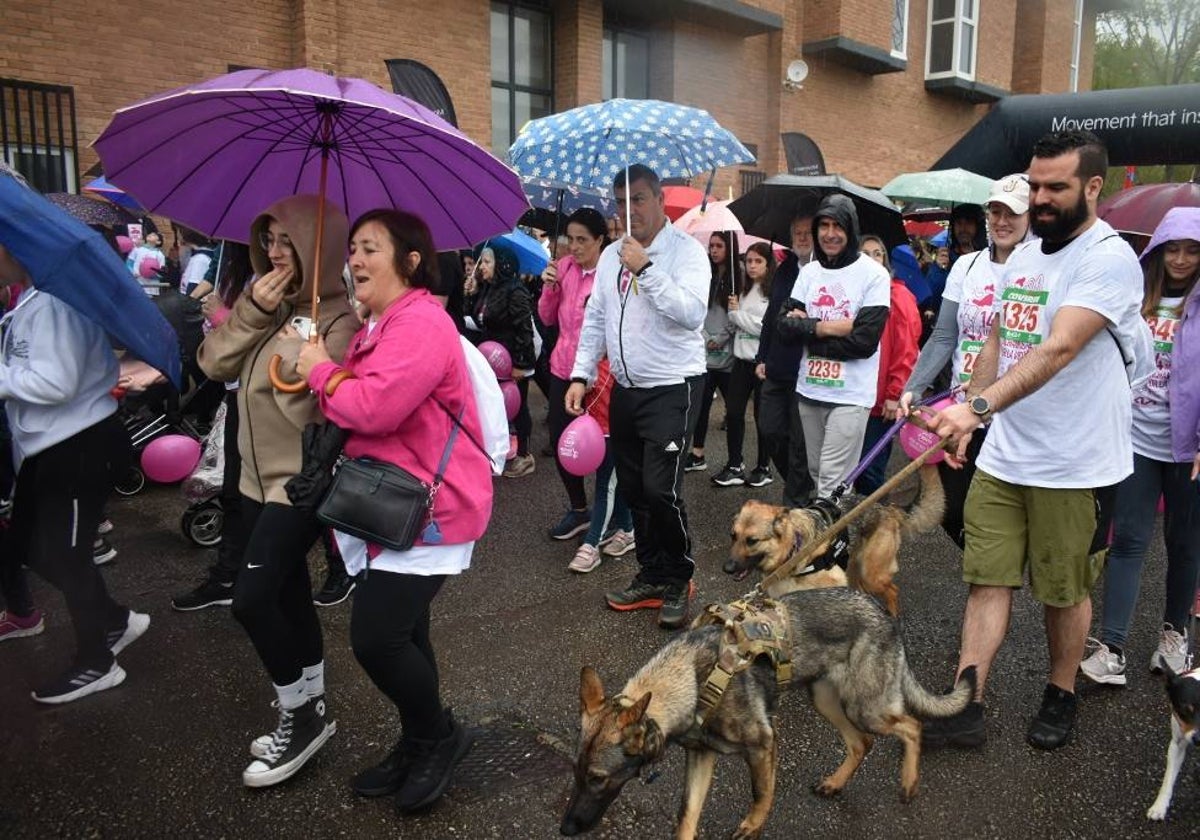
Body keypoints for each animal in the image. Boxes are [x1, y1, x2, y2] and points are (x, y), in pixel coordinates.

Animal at [561, 588, 974, 835]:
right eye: (576, 772)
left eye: (598, 778)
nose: (565, 829)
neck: (691, 680)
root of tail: (882, 611)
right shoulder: (701, 757)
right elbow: (687, 813)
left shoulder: (762, 745)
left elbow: (761, 793)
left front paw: (752, 825)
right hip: (825, 699)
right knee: (862, 744)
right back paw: (836, 782)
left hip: (865, 707)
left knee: (912, 725)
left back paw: (908, 782)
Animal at [720, 463, 945, 614]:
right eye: (733, 536)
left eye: (752, 541)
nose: (727, 568)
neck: (794, 551)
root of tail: (887, 509)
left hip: (871, 574)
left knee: (892, 590)